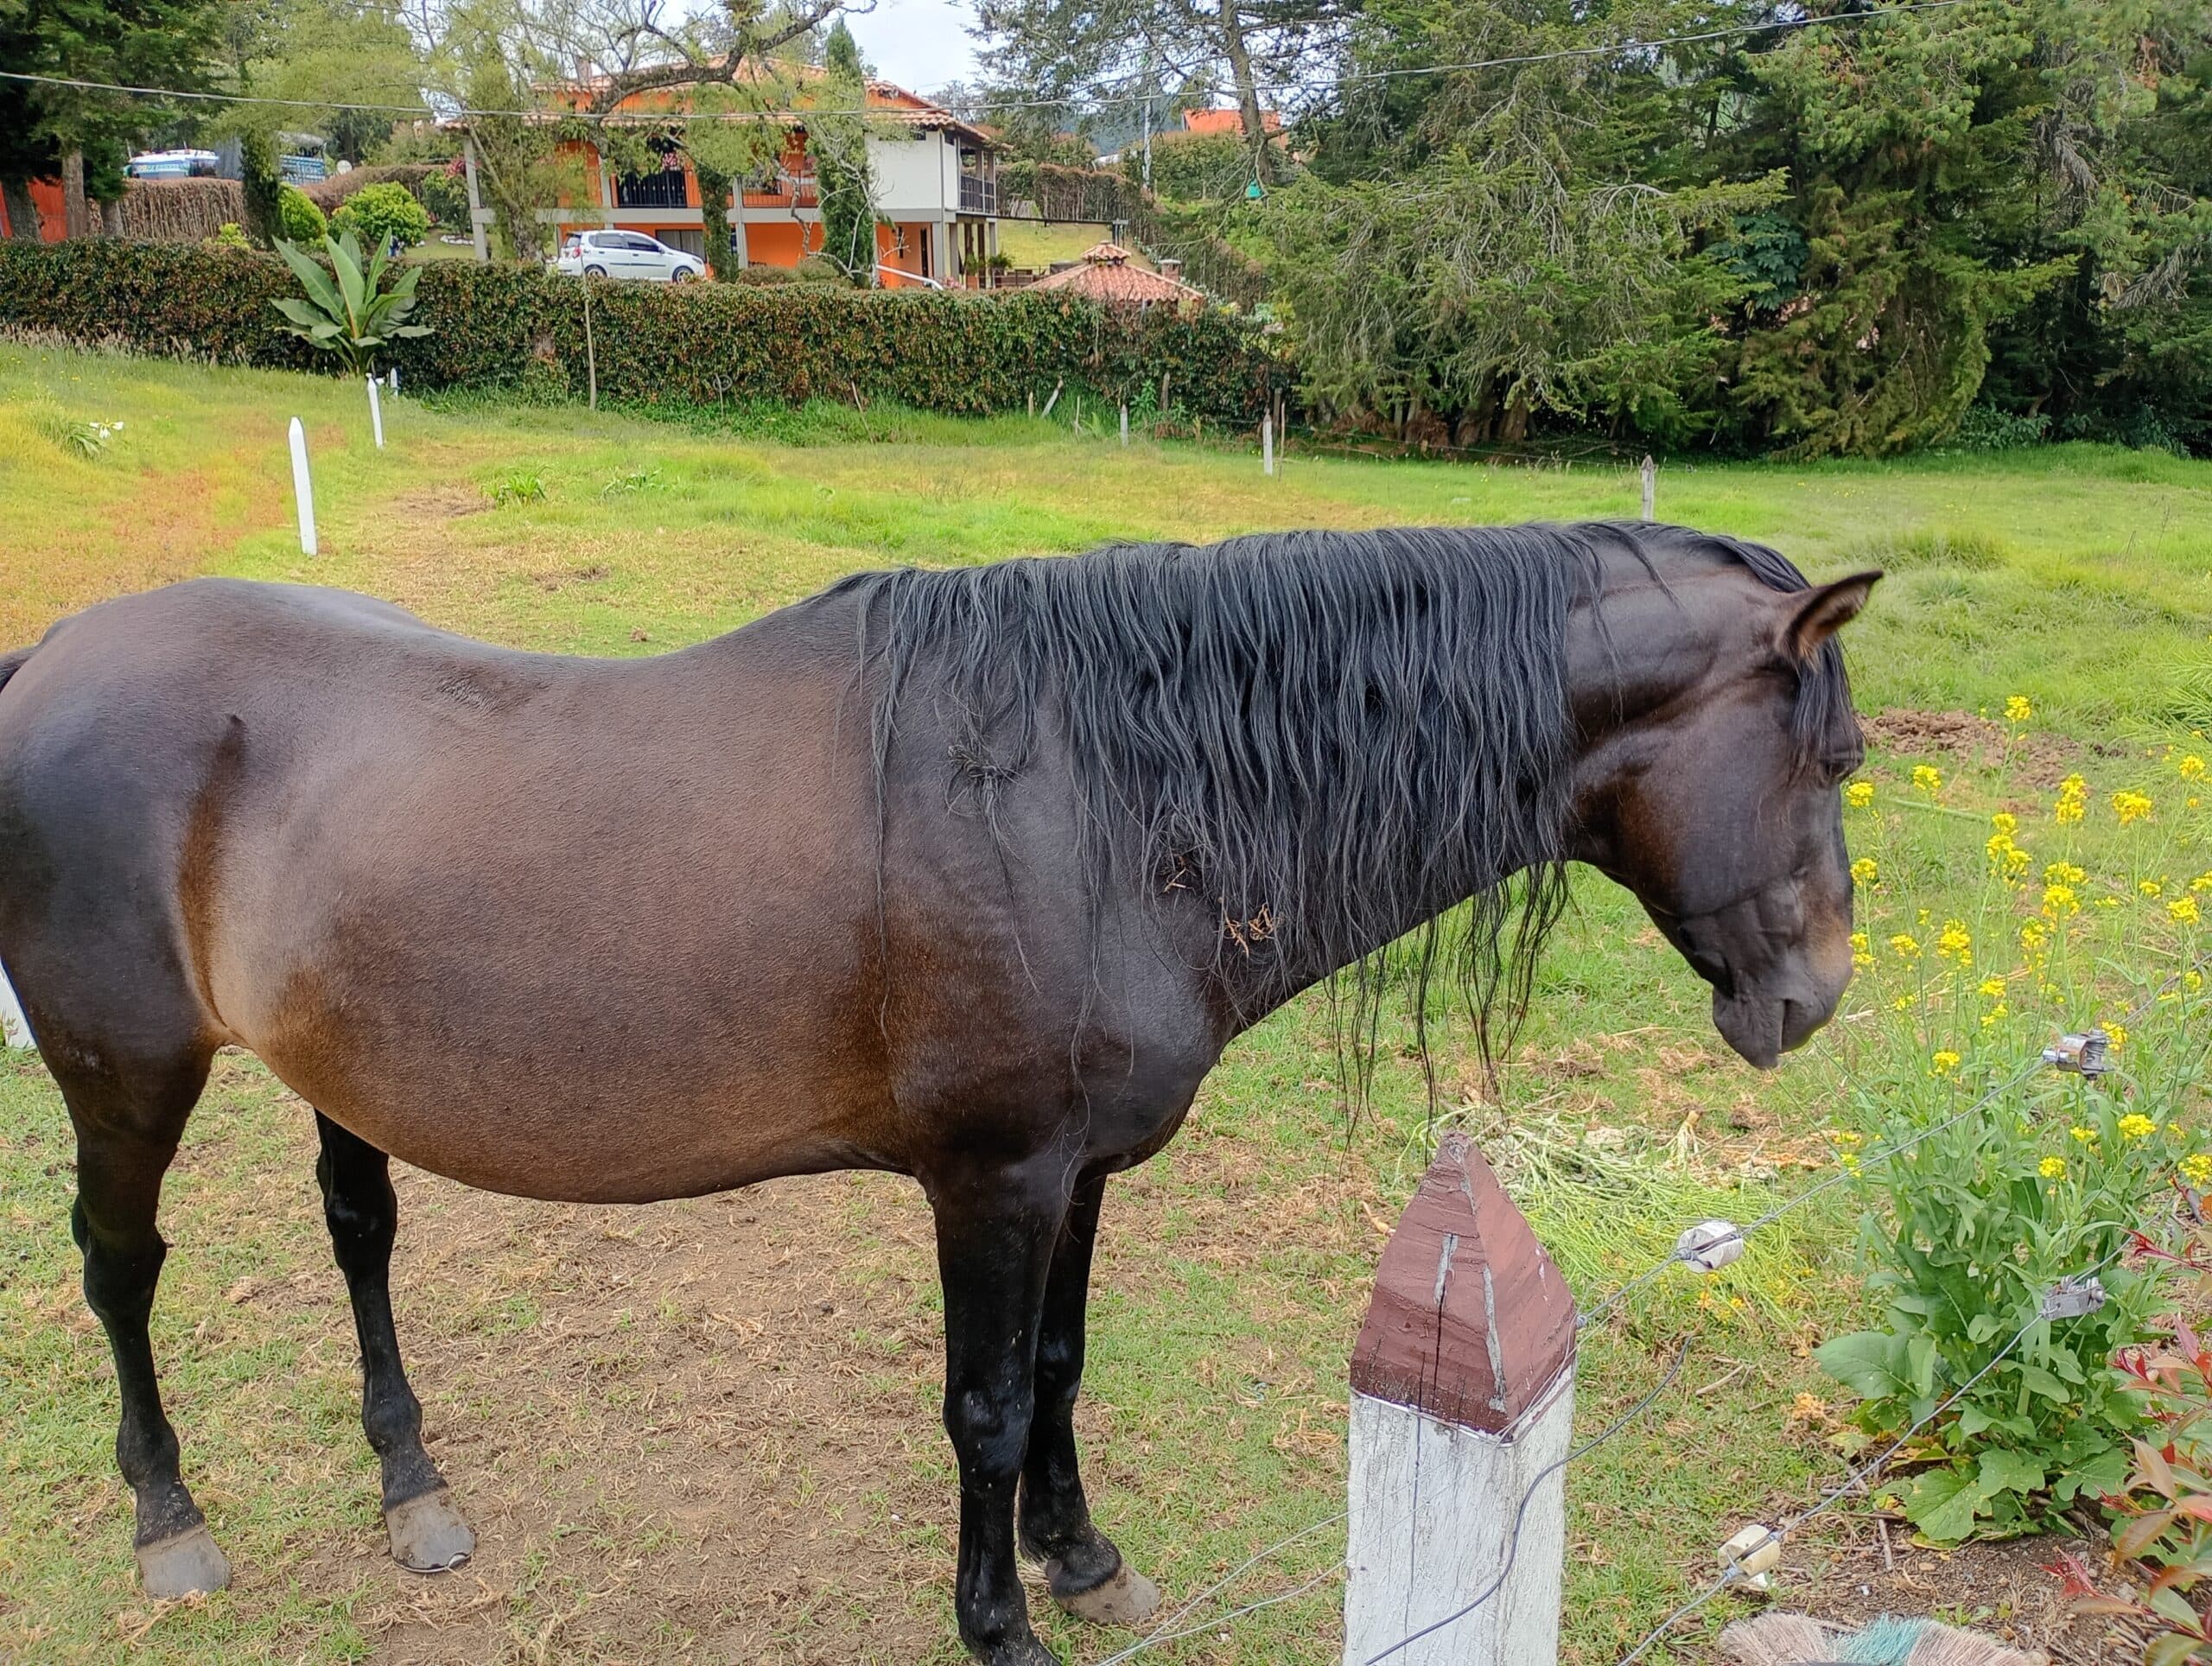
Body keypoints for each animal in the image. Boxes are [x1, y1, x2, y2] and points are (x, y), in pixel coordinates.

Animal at [0, 521, 1875, 1665]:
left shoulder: (1079, 1170)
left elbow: (1054, 1368)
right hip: (125, 1070)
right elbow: (977, 1405)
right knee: (119, 1267)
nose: (1812, 997)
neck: (1101, 794)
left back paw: (411, 1484)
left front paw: (1081, 1556)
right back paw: (168, 1514)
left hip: (337, 1070)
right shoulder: (991, 1178)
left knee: (359, 1235)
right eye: (1835, 758)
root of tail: (53, 657)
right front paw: (999, 1615)